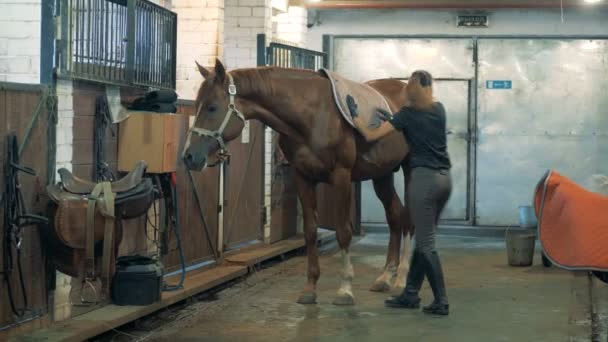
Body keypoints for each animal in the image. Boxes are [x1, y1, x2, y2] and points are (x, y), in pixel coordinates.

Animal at [182, 59, 414, 304]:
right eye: (197, 105)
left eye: (212, 107)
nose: (189, 156)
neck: (311, 115)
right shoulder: (303, 177)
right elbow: (310, 232)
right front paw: (310, 288)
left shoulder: (341, 177)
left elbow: (343, 231)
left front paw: (345, 289)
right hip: (382, 174)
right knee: (395, 216)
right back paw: (385, 277)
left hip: (410, 170)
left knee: (408, 219)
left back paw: (402, 277)